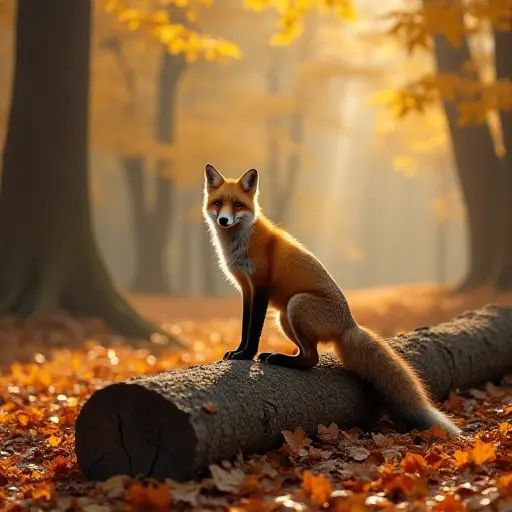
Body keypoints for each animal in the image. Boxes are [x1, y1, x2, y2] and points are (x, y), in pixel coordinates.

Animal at [202, 164, 462, 436]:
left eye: (237, 205)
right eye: (218, 203)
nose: (223, 220)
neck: (239, 244)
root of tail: (350, 324)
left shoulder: (261, 286)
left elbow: (253, 331)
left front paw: (247, 355)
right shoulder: (246, 289)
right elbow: (245, 328)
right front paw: (238, 352)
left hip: (296, 304)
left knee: (312, 359)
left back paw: (280, 359)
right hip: (285, 316)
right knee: (308, 354)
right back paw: (283, 357)